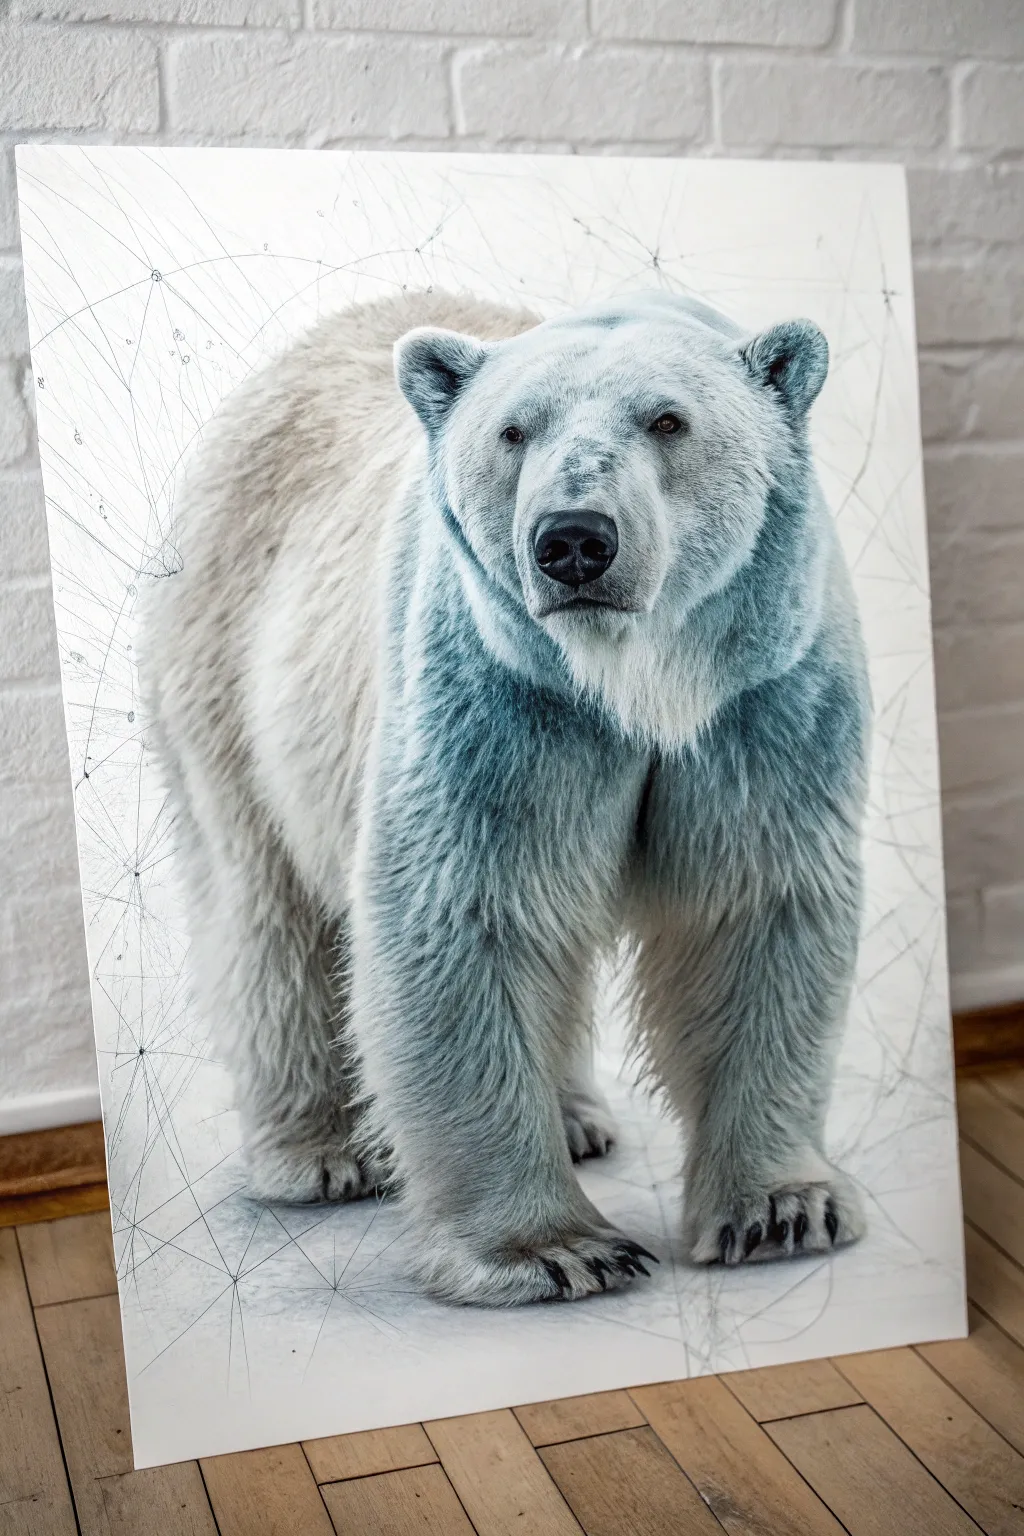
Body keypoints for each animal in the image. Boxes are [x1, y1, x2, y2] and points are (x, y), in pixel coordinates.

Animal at [141, 287, 870, 1307]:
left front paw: (781, 1211)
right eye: (514, 432)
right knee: (268, 911)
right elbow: (466, 911)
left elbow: (753, 904)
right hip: (230, 666)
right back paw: (322, 1153)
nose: (573, 540)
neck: (633, 680)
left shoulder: (765, 693)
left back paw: (574, 1114)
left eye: (668, 420)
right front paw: (556, 1251)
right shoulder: (497, 687)